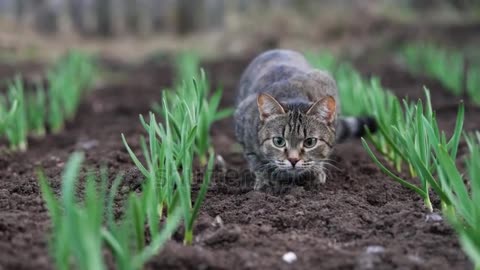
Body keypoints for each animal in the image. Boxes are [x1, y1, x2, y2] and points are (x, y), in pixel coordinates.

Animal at [234, 49, 376, 191]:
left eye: (310, 142)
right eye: (278, 141)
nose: (293, 159)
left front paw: (316, 171)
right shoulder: (242, 121)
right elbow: (254, 160)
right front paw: (264, 179)